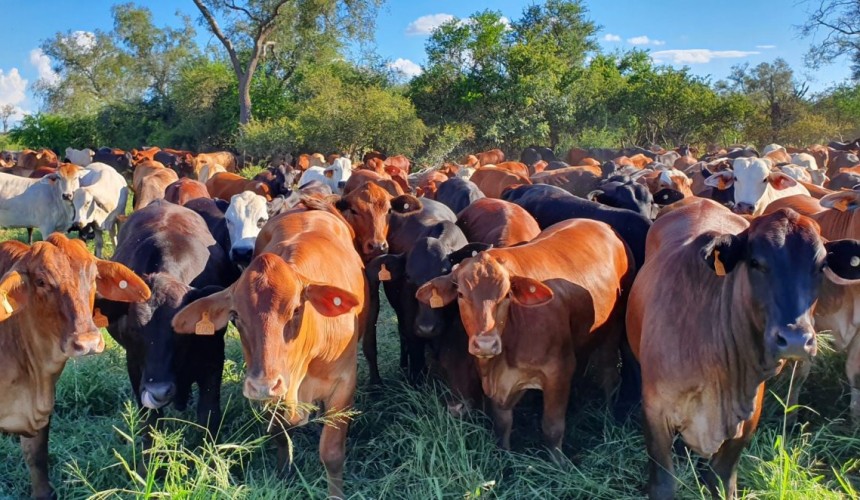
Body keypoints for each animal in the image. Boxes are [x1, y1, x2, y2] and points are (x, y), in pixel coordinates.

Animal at [97, 200, 239, 451]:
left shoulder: (214, 357)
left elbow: (208, 415)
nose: (159, 391)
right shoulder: (135, 367)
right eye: (133, 329)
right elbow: (150, 423)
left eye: (181, 330)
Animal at [172, 209, 366, 499]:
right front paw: (284, 475)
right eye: (235, 316)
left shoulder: (344, 383)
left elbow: (331, 453)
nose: (264, 384)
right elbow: (279, 434)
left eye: (296, 310)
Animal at [416, 218, 634, 456]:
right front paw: (504, 456)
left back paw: (608, 420)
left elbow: (552, 428)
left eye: (507, 294)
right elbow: (502, 424)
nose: (486, 344)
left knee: (609, 375)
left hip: (613, 330)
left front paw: (559, 462)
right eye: (461, 294)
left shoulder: (558, 371)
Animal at [626, 198, 860, 499]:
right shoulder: (656, 415)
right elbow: (664, 485)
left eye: (821, 266)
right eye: (755, 262)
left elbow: (722, 481)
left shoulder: (746, 422)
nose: (795, 339)